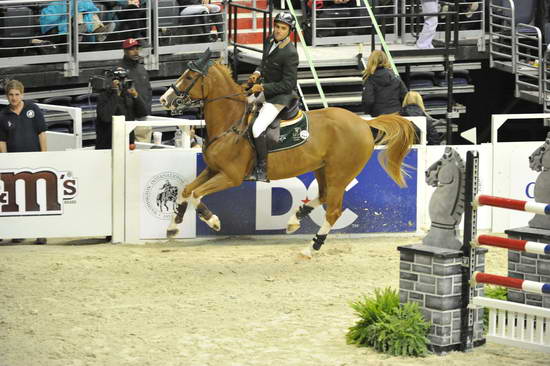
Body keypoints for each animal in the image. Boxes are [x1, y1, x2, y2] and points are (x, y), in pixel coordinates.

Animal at [162, 53, 416, 258]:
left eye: (189, 76)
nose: (165, 99)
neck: (231, 123)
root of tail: (363, 123)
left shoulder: (230, 177)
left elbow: (196, 194)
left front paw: (212, 221)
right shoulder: (213, 169)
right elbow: (186, 190)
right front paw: (174, 225)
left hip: (340, 174)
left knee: (333, 211)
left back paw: (311, 248)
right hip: (323, 169)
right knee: (323, 196)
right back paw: (297, 218)